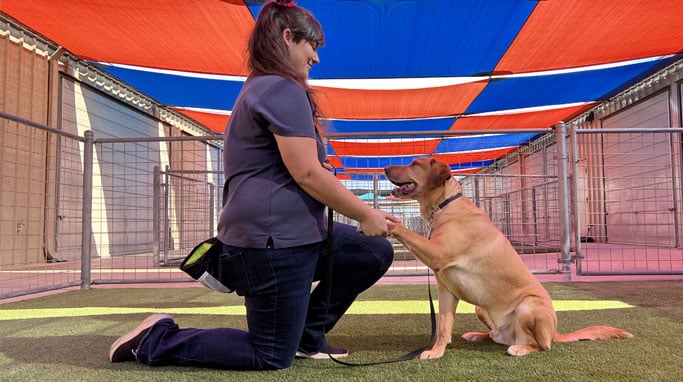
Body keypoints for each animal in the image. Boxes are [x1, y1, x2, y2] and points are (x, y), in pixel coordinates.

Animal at [382, 157, 632, 356]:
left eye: (415, 163)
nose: (384, 167)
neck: (445, 206)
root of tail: (555, 332)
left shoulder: (437, 253)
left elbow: (404, 230)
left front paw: (385, 221)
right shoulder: (446, 290)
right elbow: (443, 326)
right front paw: (437, 351)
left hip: (528, 306)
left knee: (542, 345)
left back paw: (521, 348)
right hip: (481, 308)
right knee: (495, 335)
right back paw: (478, 335)